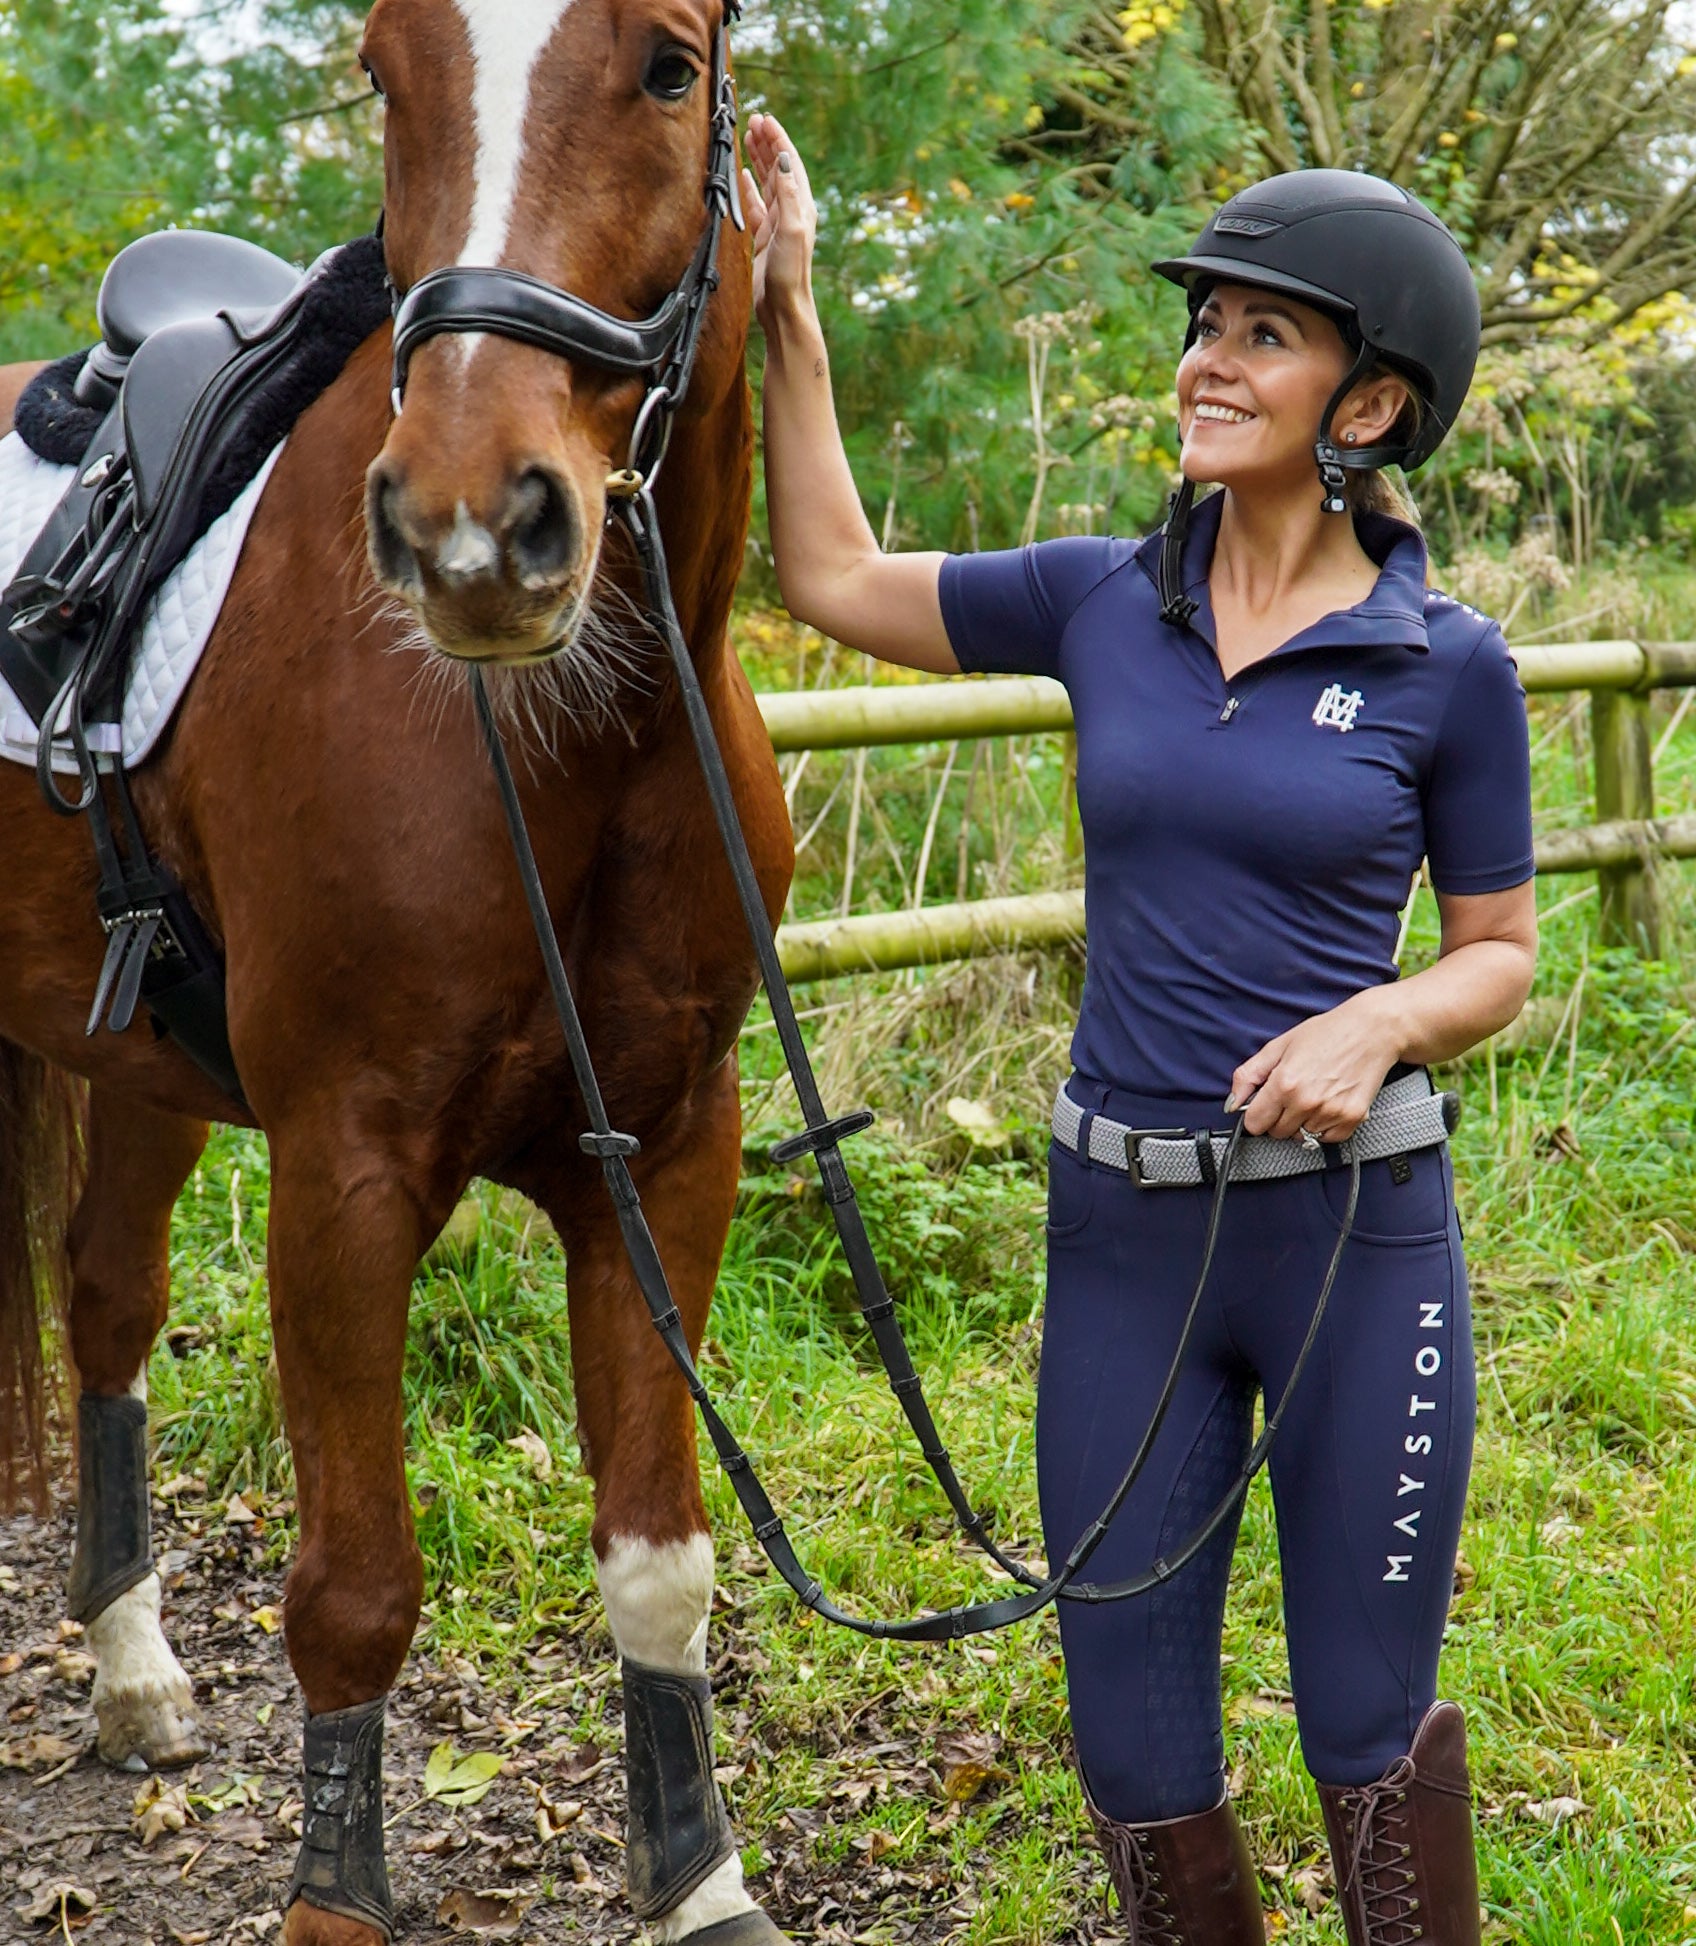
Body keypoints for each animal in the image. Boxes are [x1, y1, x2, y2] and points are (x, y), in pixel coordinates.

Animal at [0, 2, 796, 1940]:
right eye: (385, 67)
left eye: (671, 64)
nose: (467, 527)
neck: (570, 741)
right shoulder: (343, 1173)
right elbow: (353, 1586)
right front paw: (334, 1901)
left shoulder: (670, 1152)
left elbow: (659, 1560)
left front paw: (697, 1878)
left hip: (135, 1060)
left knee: (105, 1296)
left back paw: (132, 1676)